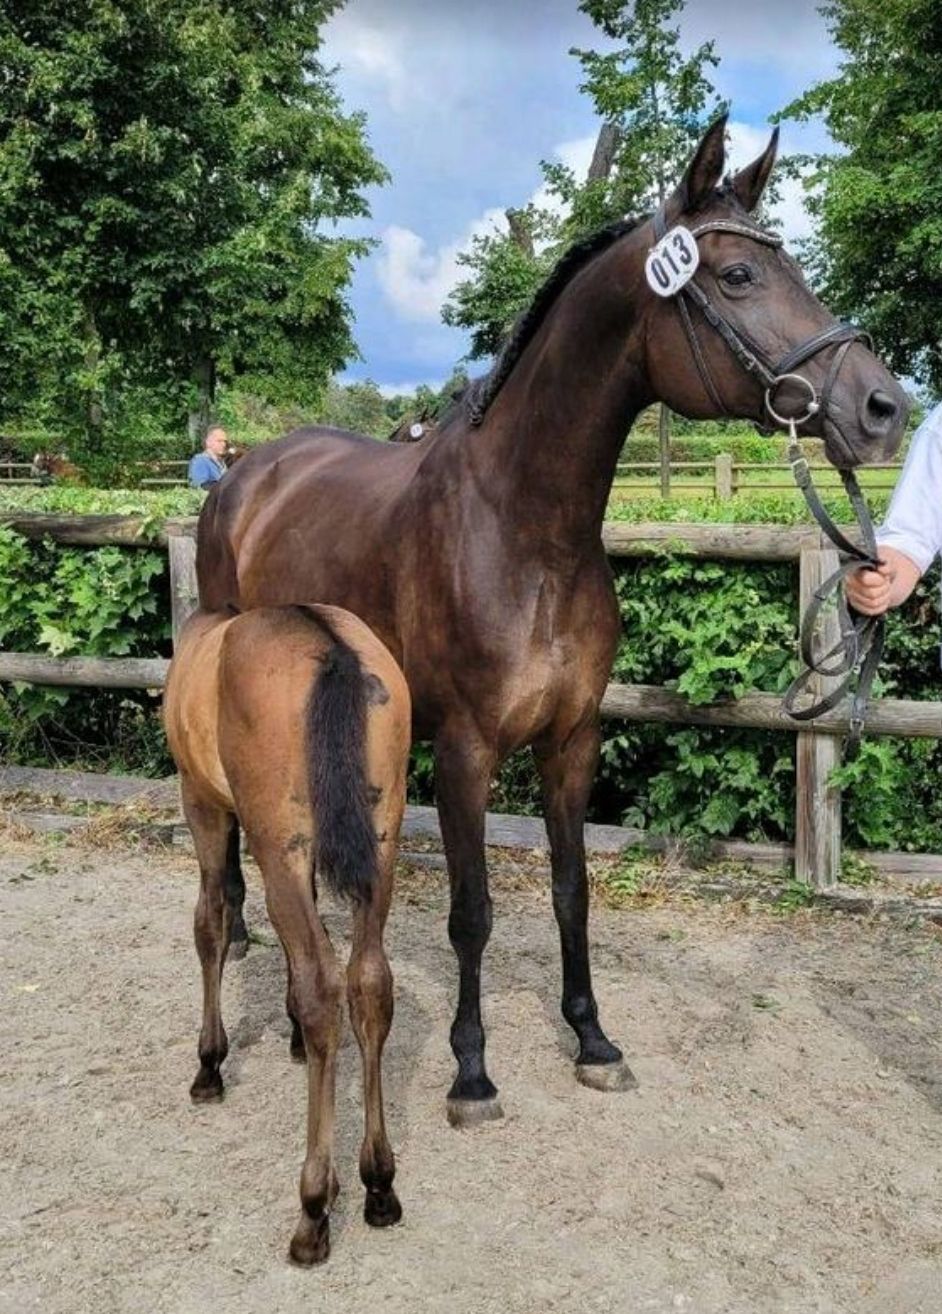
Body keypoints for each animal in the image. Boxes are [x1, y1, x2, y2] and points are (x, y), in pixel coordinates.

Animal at [163, 604, 411, 1264]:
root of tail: (333, 654)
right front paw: (294, 1036)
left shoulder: (203, 803)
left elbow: (212, 921)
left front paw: (210, 1064)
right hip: (379, 844)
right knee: (368, 984)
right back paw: (379, 1183)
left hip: (281, 840)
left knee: (324, 987)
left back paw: (313, 1207)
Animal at [195, 114, 909, 1128]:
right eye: (738, 275)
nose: (886, 408)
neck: (524, 532)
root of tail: (243, 475)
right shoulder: (465, 749)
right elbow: (473, 911)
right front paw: (471, 1070)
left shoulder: (573, 738)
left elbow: (574, 890)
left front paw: (593, 1038)